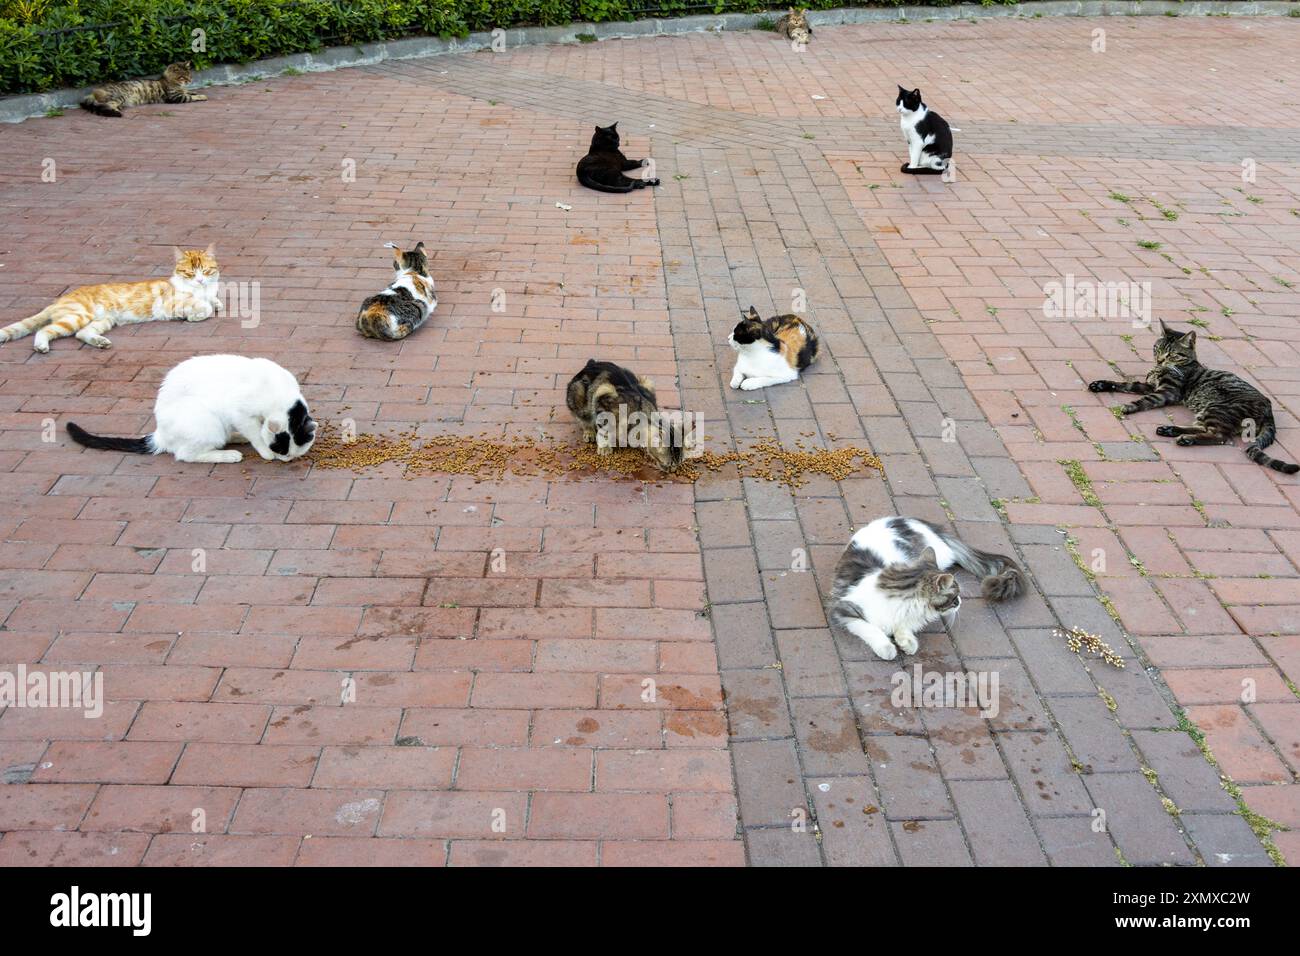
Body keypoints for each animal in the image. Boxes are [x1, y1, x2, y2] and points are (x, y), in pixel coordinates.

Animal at [0, 244, 220, 353]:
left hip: (102, 321)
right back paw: (41, 346)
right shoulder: (169, 303)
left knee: (81, 334)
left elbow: (215, 303)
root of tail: (59, 300)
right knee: (45, 330)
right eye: (190, 273)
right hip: (78, 316)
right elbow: (205, 307)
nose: (200, 280)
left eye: (205, 271)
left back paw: (101, 343)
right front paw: (194, 315)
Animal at [65, 356, 317, 468]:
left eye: (294, 453)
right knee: (186, 454)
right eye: (280, 449)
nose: (286, 459)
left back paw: (235, 438)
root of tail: (160, 433)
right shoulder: (240, 412)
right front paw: (265, 452)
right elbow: (255, 433)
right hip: (207, 422)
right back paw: (228, 455)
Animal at [832, 515, 1024, 658]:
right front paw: (887, 648)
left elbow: (904, 626)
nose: (961, 602)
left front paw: (907, 641)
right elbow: (870, 628)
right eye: (955, 598)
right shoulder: (842, 608)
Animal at [1092, 319, 1294, 473]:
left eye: (1172, 354)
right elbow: (1125, 384)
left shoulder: (1167, 392)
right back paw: (1170, 430)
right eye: (1158, 349)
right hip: (1206, 412)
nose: (1159, 359)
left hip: (1218, 409)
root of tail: (1269, 409)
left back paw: (1185, 438)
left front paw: (1129, 406)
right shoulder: (1148, 385)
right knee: (1203, 429)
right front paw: (1101, 384)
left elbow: (1145, 400)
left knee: (1220, 436)